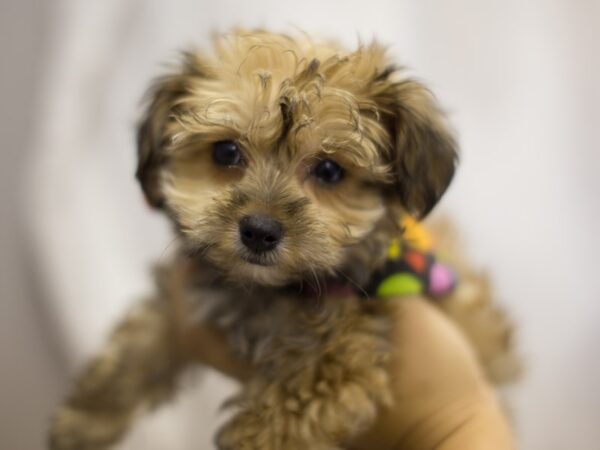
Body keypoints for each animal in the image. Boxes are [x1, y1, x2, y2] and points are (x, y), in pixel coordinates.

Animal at [49, 30, 516, 450]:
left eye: (329, 170)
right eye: (225, 152)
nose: (259, 231)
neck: (264, 292)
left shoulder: (342, 356)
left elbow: (285, 417)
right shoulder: (182, 303)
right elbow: (137, 346)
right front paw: (85, 418)